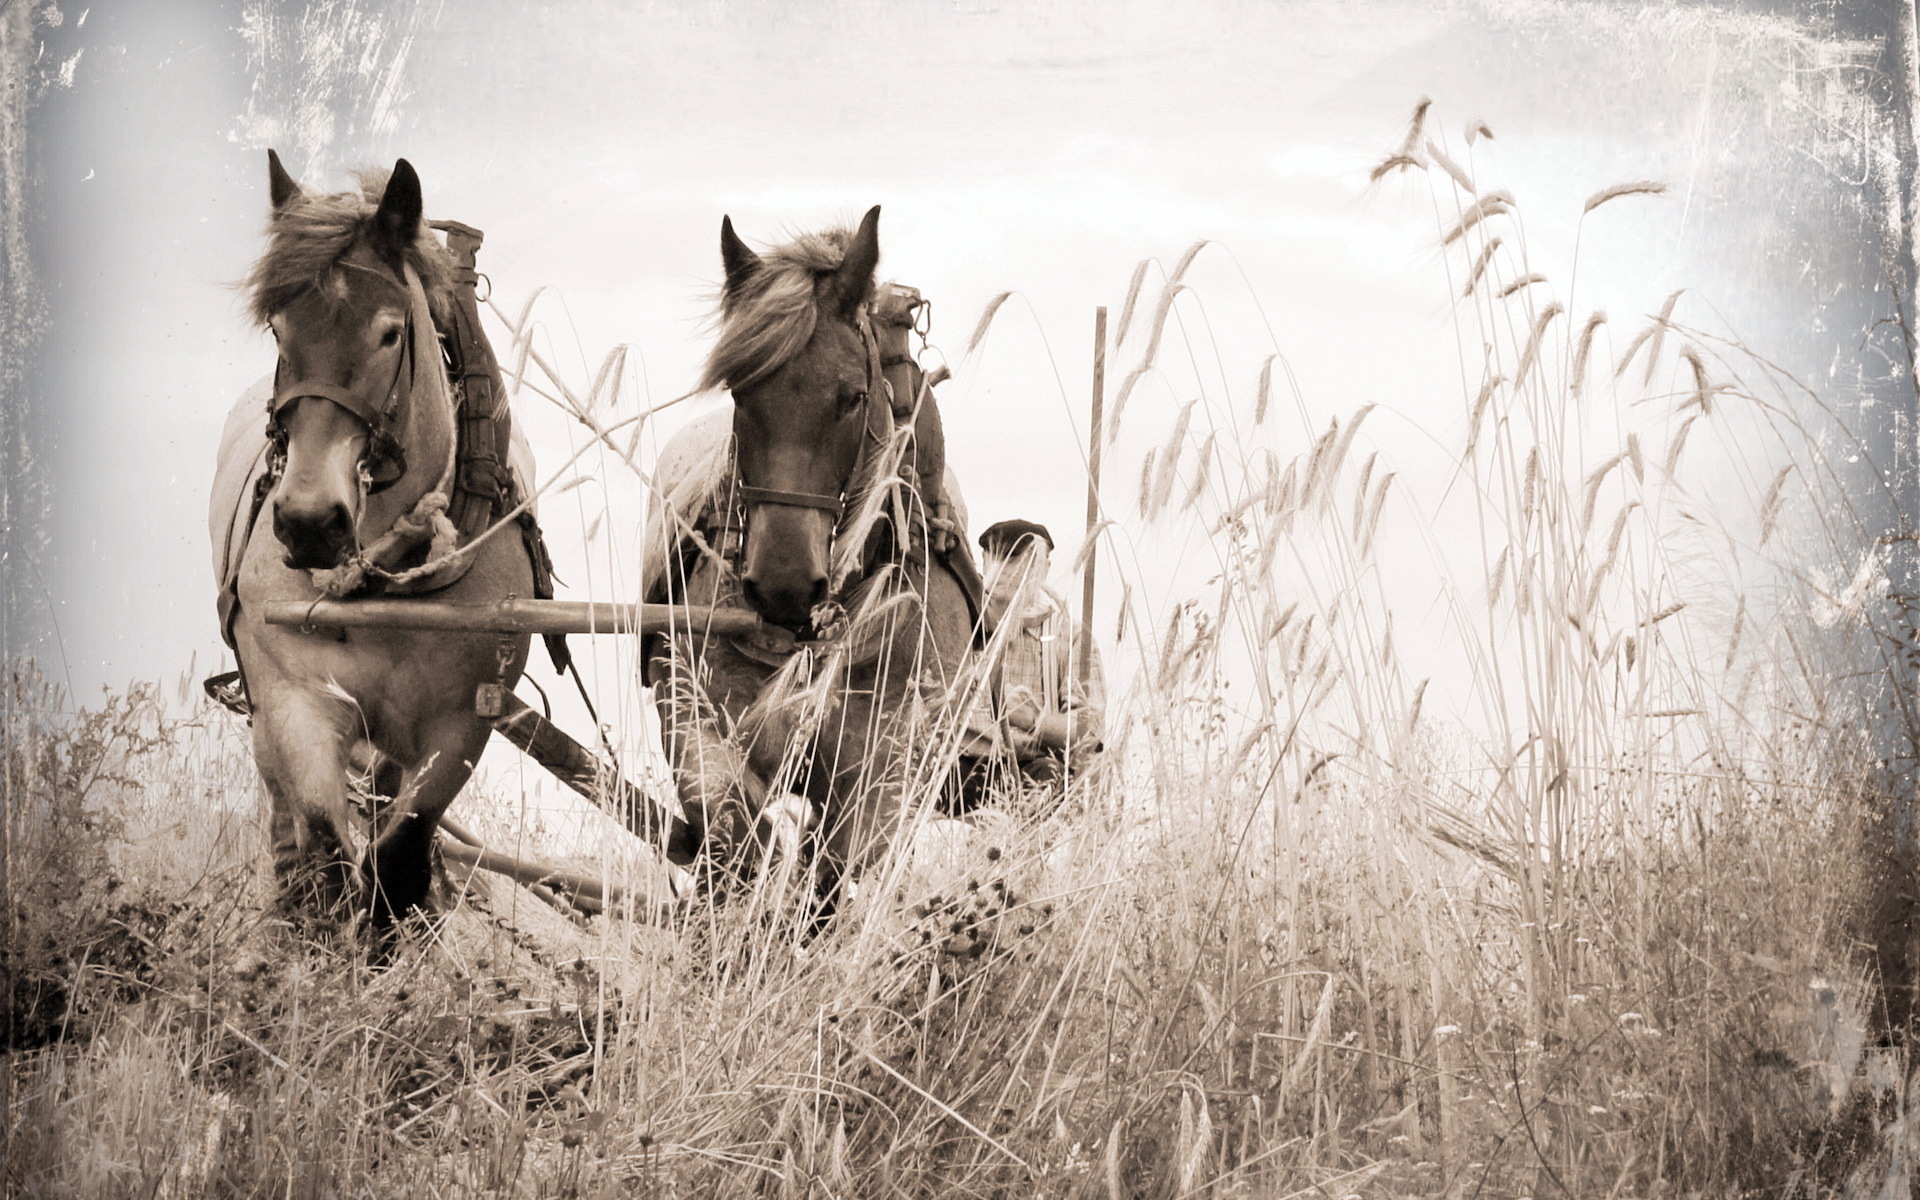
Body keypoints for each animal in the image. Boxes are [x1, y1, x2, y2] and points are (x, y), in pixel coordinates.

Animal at [217, 151, 549, 925]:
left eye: (390, 333)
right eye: (278, 330)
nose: (309, 523)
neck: (382, 581)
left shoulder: (460, 727)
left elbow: (397, 864)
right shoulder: (297, 702)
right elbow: (328, 851)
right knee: (289, 830)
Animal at [645, 208, 983, 917]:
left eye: (852, 397)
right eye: (740, 391)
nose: (784, 585)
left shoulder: (889, 769)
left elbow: (841, 868)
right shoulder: (692, 715)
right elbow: (732, 825)